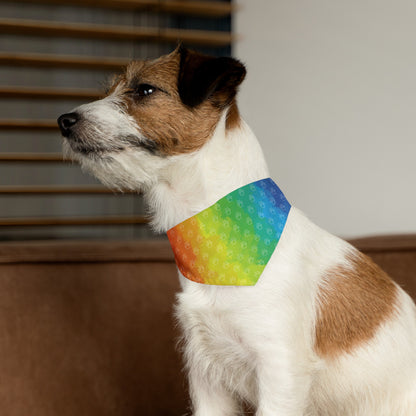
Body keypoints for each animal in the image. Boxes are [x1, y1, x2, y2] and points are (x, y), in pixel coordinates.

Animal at [56, 47, 416, 414]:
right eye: (110, 90)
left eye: (144, 90)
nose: (64, 121)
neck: (219, 235)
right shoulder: (206, 375)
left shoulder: (280, 372)